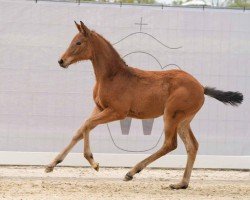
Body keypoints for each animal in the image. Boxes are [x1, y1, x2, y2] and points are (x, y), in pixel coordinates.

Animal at [45, 21, 242, 189]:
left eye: (78, 42)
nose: (61, 61)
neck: (112, 76)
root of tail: (201, 87)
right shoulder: (99, 108)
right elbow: (80, 131)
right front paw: (51, 164)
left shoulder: (118, 112)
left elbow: (87, 125)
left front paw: (93, 162)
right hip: (184, 120)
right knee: (192, 146)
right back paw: (181, 184)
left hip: (171, 114)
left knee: (170, 144)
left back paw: (132, 172)